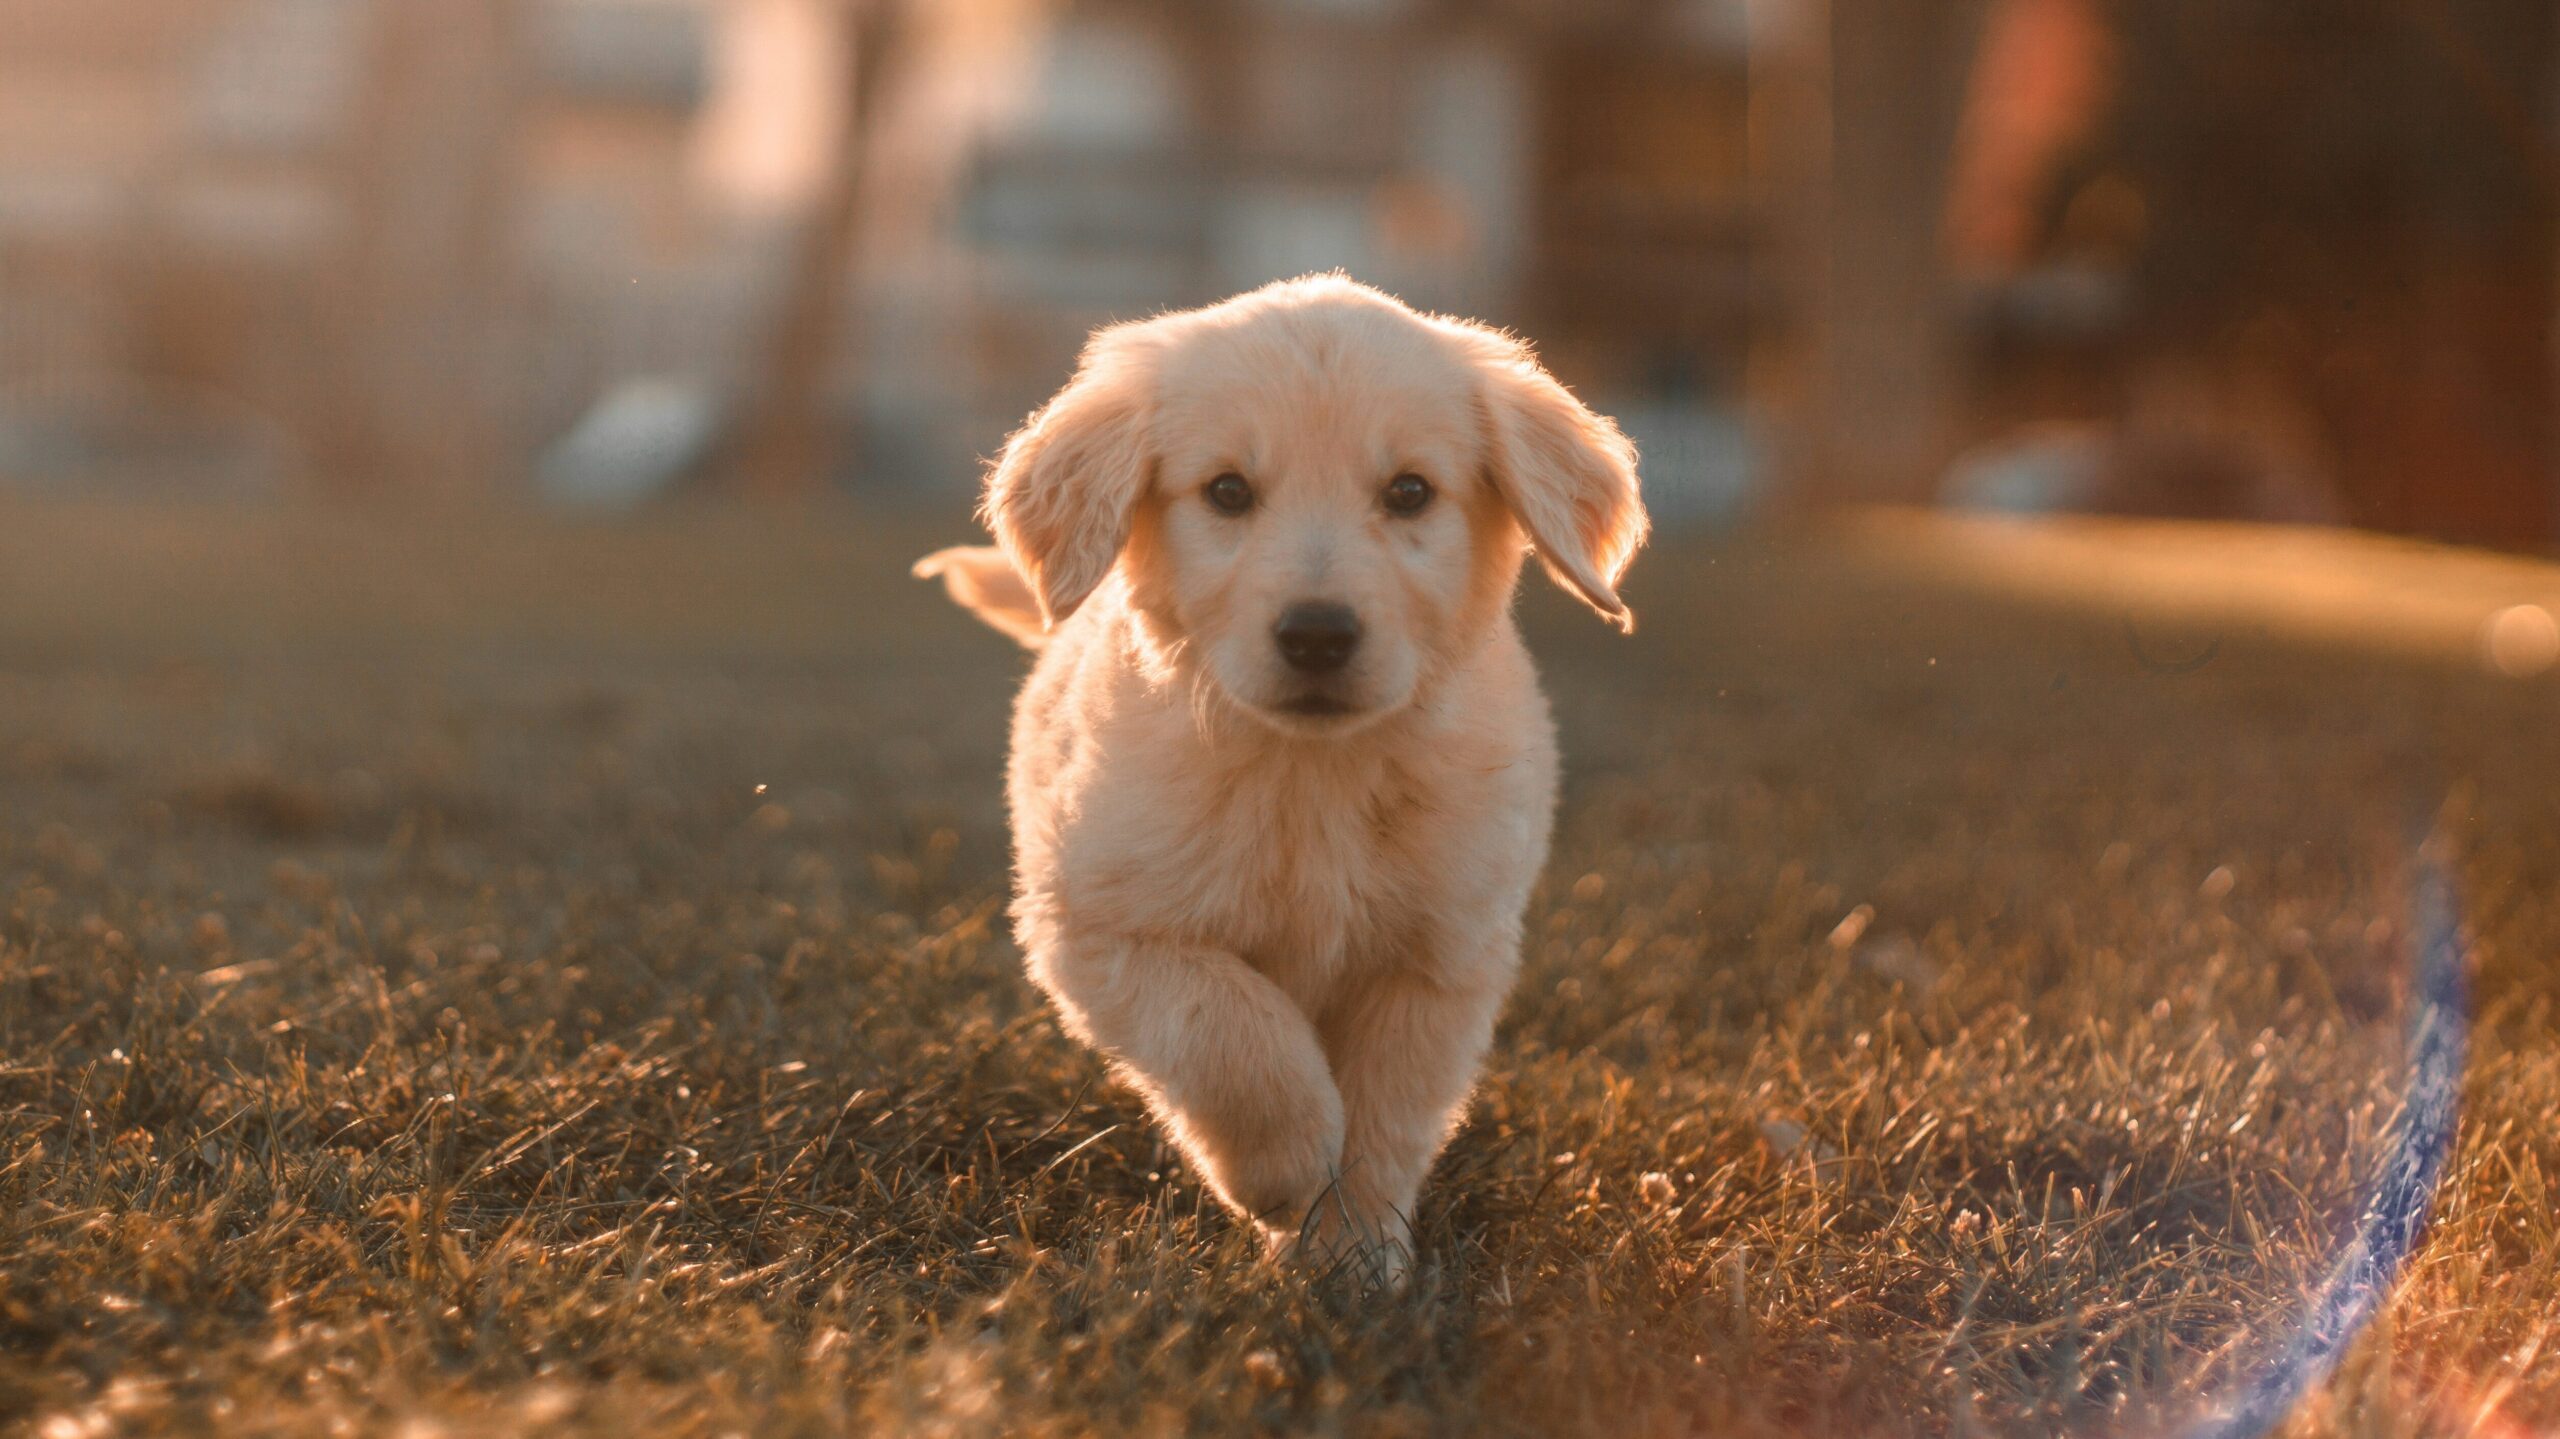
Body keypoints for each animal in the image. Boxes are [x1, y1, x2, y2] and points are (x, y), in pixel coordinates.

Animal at [911, 271, 1648, 1275]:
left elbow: (1387, 1113)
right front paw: (1288, 1167)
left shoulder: (1441, 956)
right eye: (1228, 491)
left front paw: (1355, 1253)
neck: (1313, 772)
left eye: (1410, 492)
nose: (1318, 635)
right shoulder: (1104, 925)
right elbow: (1232, 1030)